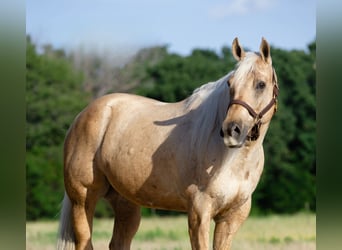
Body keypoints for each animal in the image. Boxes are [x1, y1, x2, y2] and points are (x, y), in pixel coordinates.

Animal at [57, 37, 280, 250]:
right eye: (230, 84)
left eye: (261, 84)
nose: (231, 130)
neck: (232, 160)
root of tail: (83, 115)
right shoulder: (199, 211)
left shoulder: (232, 217)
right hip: (83, 198)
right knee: (85, 242)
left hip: (126, 203)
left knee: (119, 243)